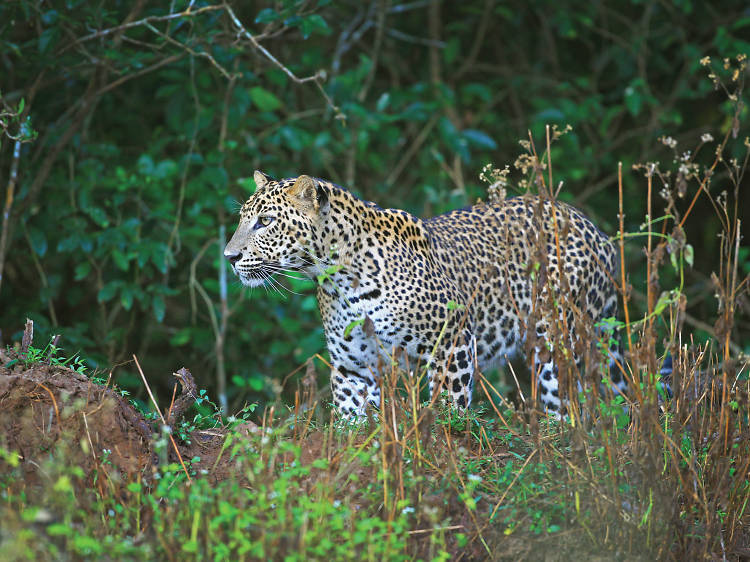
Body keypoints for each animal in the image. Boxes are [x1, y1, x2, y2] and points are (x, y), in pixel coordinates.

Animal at [226, 171, 624, 416]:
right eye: (243, 219)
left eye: (265, 222)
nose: (229, 257)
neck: (338, 277)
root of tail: (594, 229)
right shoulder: (353, 365)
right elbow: (351, 424)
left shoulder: (451, 341)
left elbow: (449, 408)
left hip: (560, 340)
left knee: (577, 404)